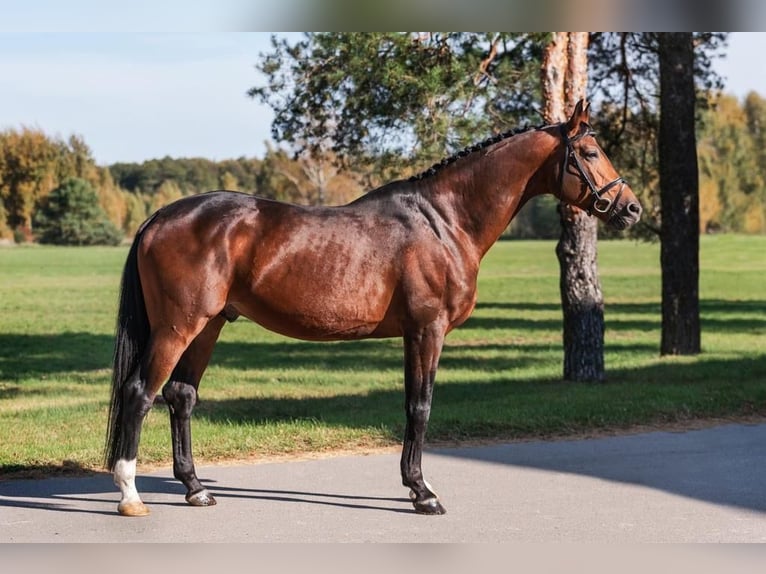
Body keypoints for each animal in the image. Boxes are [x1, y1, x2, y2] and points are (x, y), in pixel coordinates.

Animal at [102, 101, 640, 520]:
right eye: (590, 153)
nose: (631, 208)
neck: (445, 221)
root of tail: (159, 217)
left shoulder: (412, 334)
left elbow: (411, 405)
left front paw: (416, 485)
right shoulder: (427, 330)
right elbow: (420, 407)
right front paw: (422, 494)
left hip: (208, 326)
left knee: (181, 396)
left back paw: (196, 489)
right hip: (178, 327)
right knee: (140, 392)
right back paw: (130, 495)